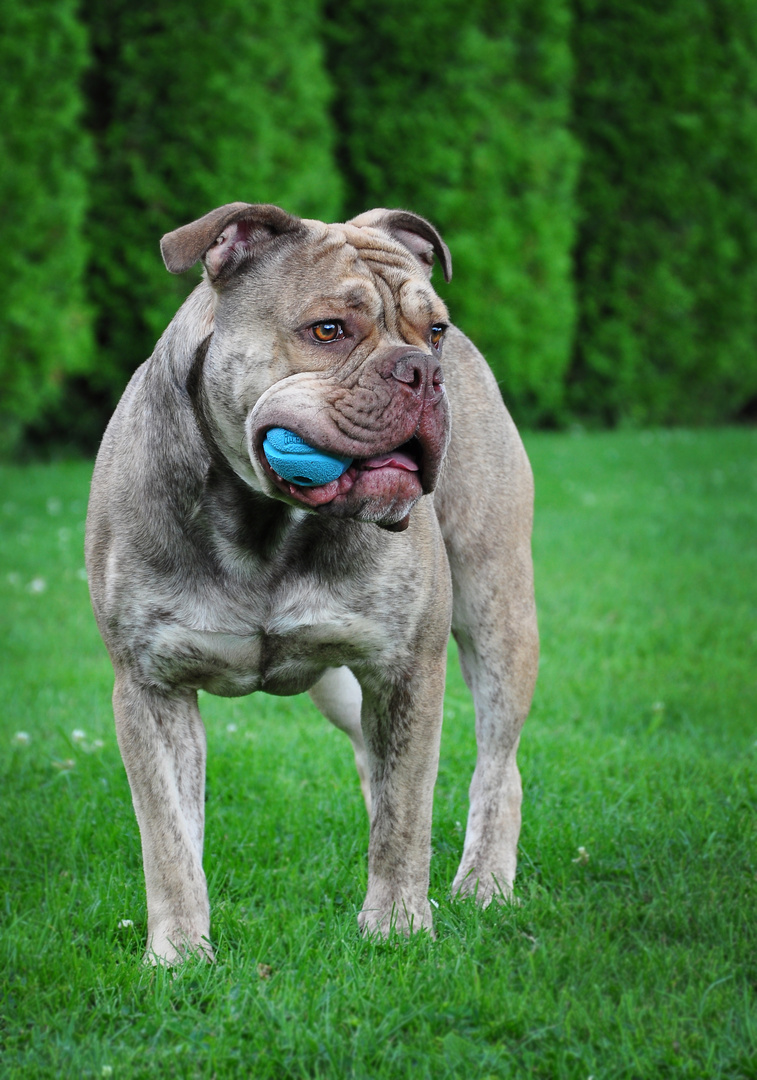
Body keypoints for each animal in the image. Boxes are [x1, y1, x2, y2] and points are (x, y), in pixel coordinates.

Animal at [84, 203, 537, 963]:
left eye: (435, 330)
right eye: (328, 330)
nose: (422, 369)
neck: (262, 522)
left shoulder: (408, 668)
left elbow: (406, 817)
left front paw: (397, 925)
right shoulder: (150, 687)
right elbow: (169, 838)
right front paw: (179, 954)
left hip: (497, 610)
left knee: (496, 766)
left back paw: (483, 883)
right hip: (340, 684)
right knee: (372, 759)